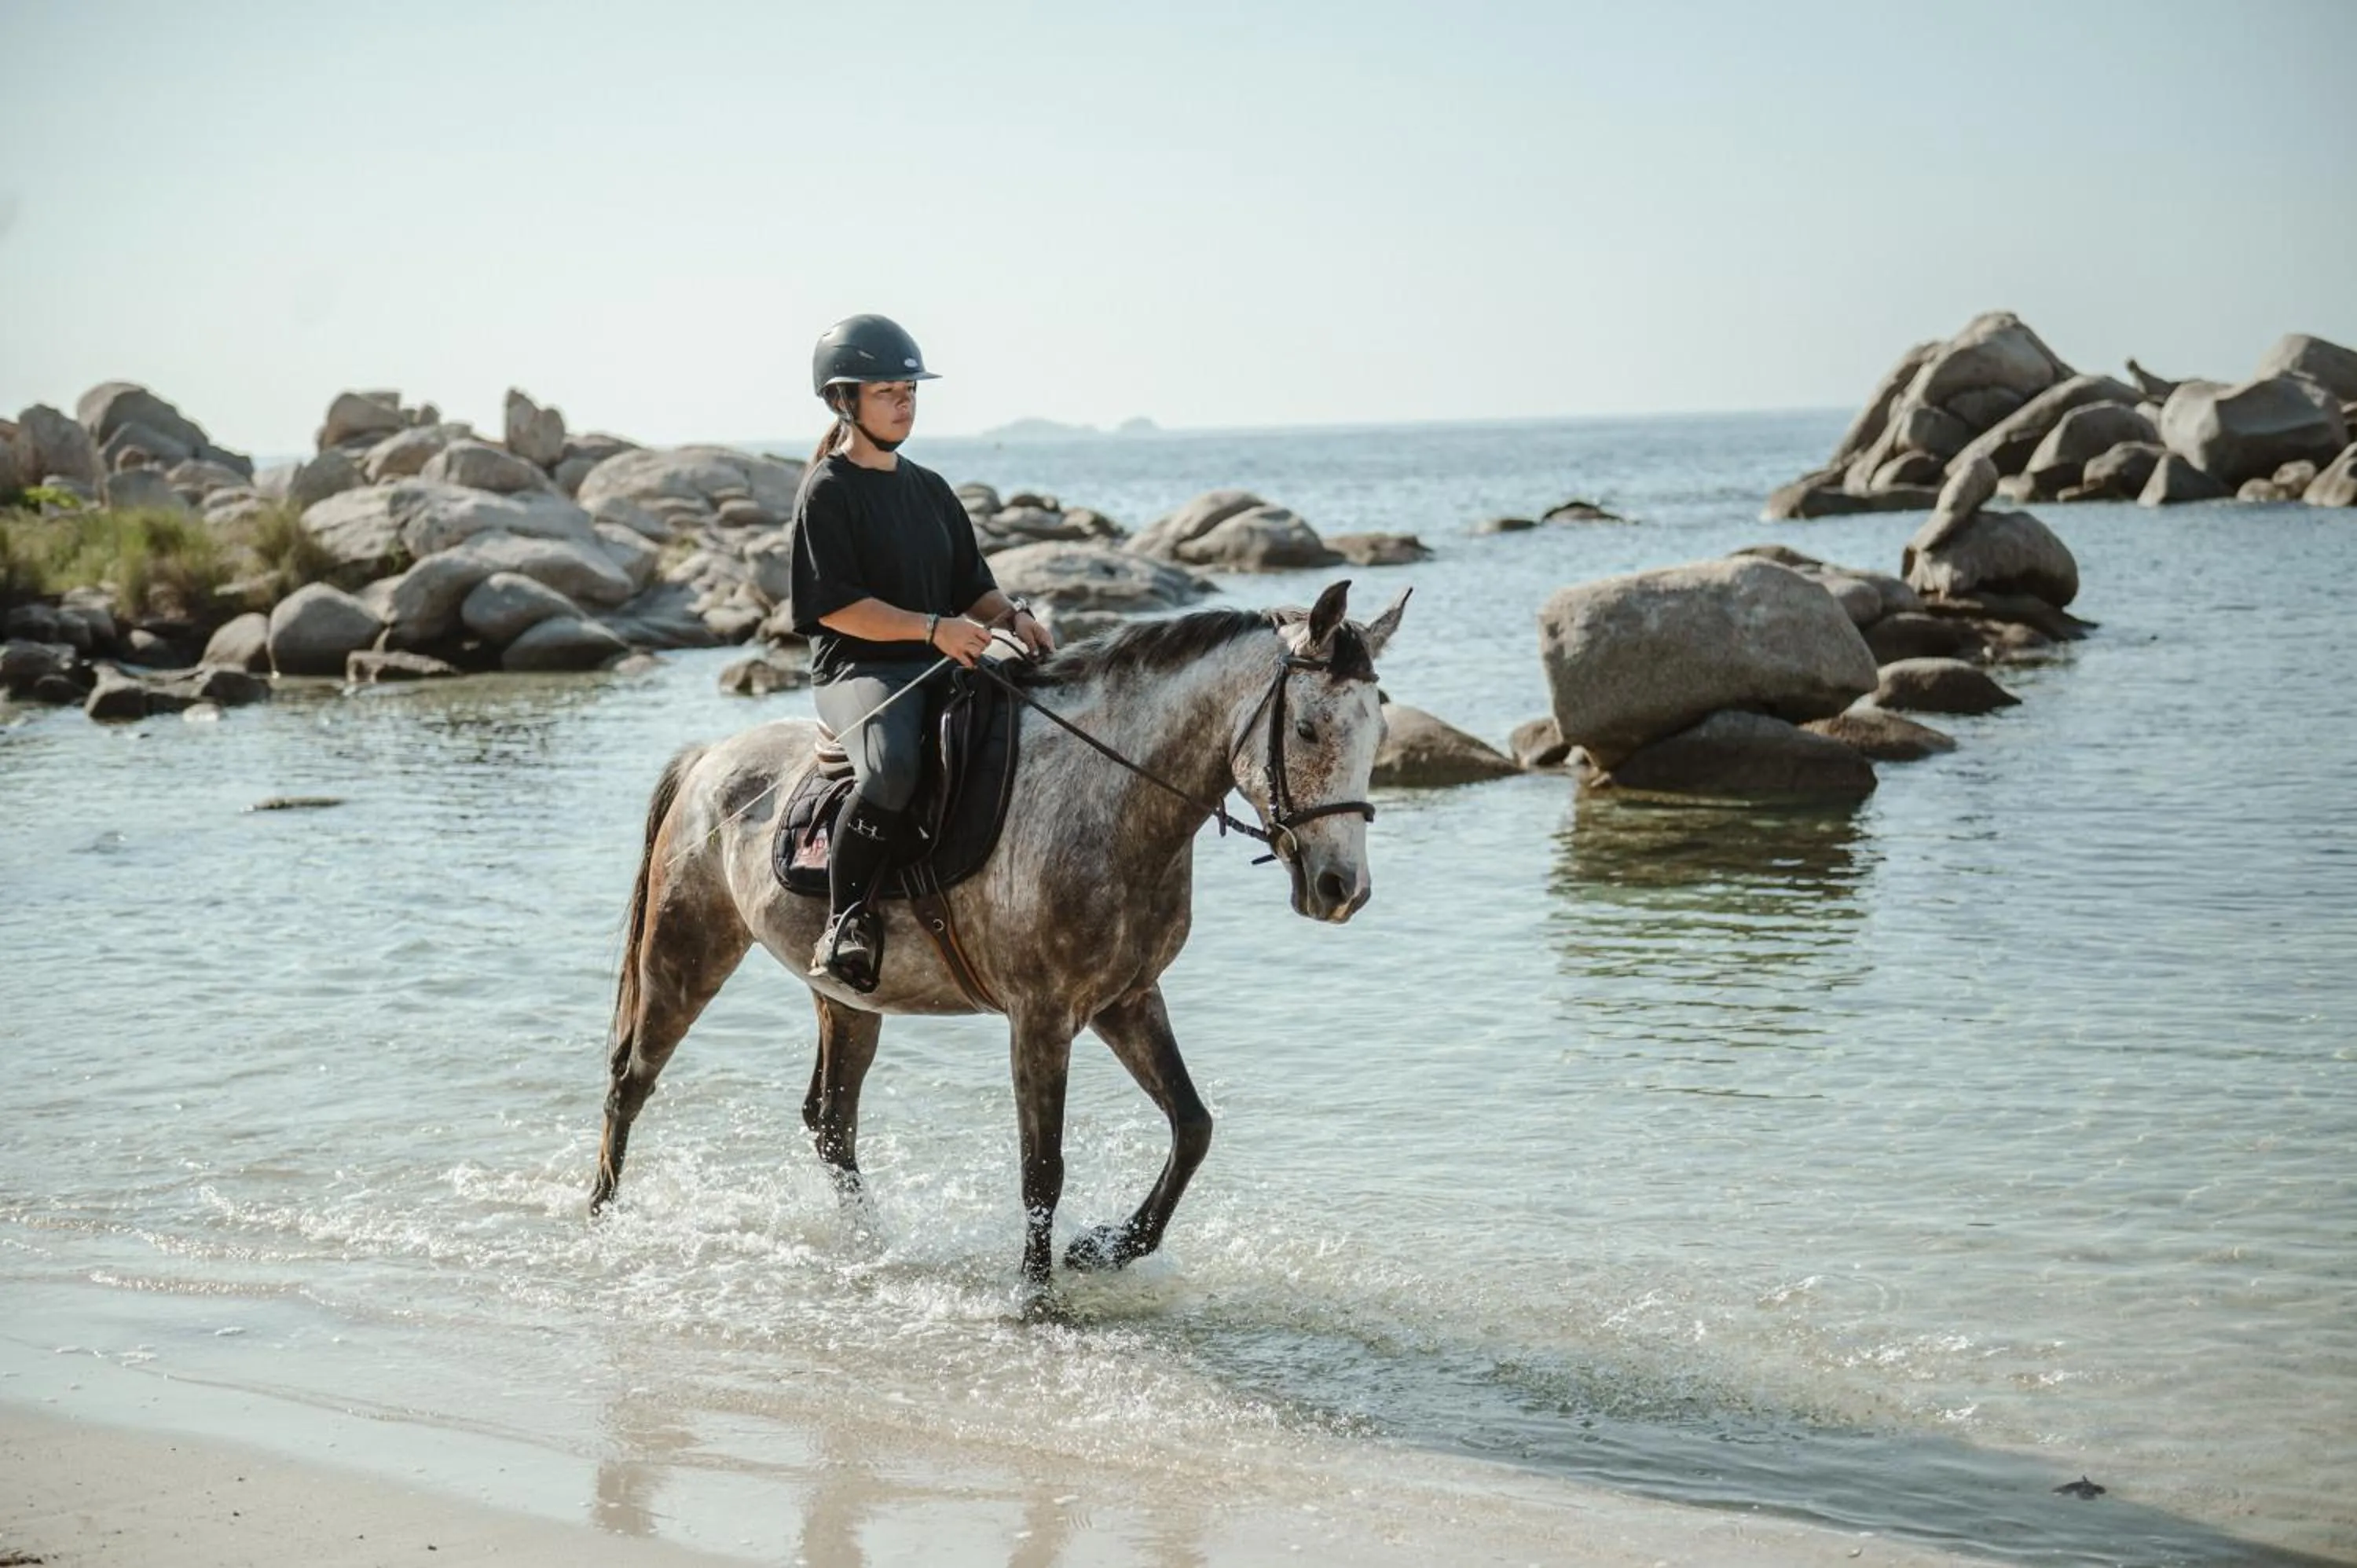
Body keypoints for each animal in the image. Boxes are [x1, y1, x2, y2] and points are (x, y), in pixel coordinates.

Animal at [591, 580, 1407, 1302]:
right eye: (1307, 729)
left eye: (1378, 732)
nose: (1343, 888)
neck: (1106, 796)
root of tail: (708, 758)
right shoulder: (1040, 1018)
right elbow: (1042, 1167)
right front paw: (1038, 1300)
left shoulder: (1127, 999)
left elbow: (1193, 1127)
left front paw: (1109, 1248)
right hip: (685, 951)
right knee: (632, 1081)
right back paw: (601, 1216)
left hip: (846, 998)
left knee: (830, 1122)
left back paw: (870, 1245)